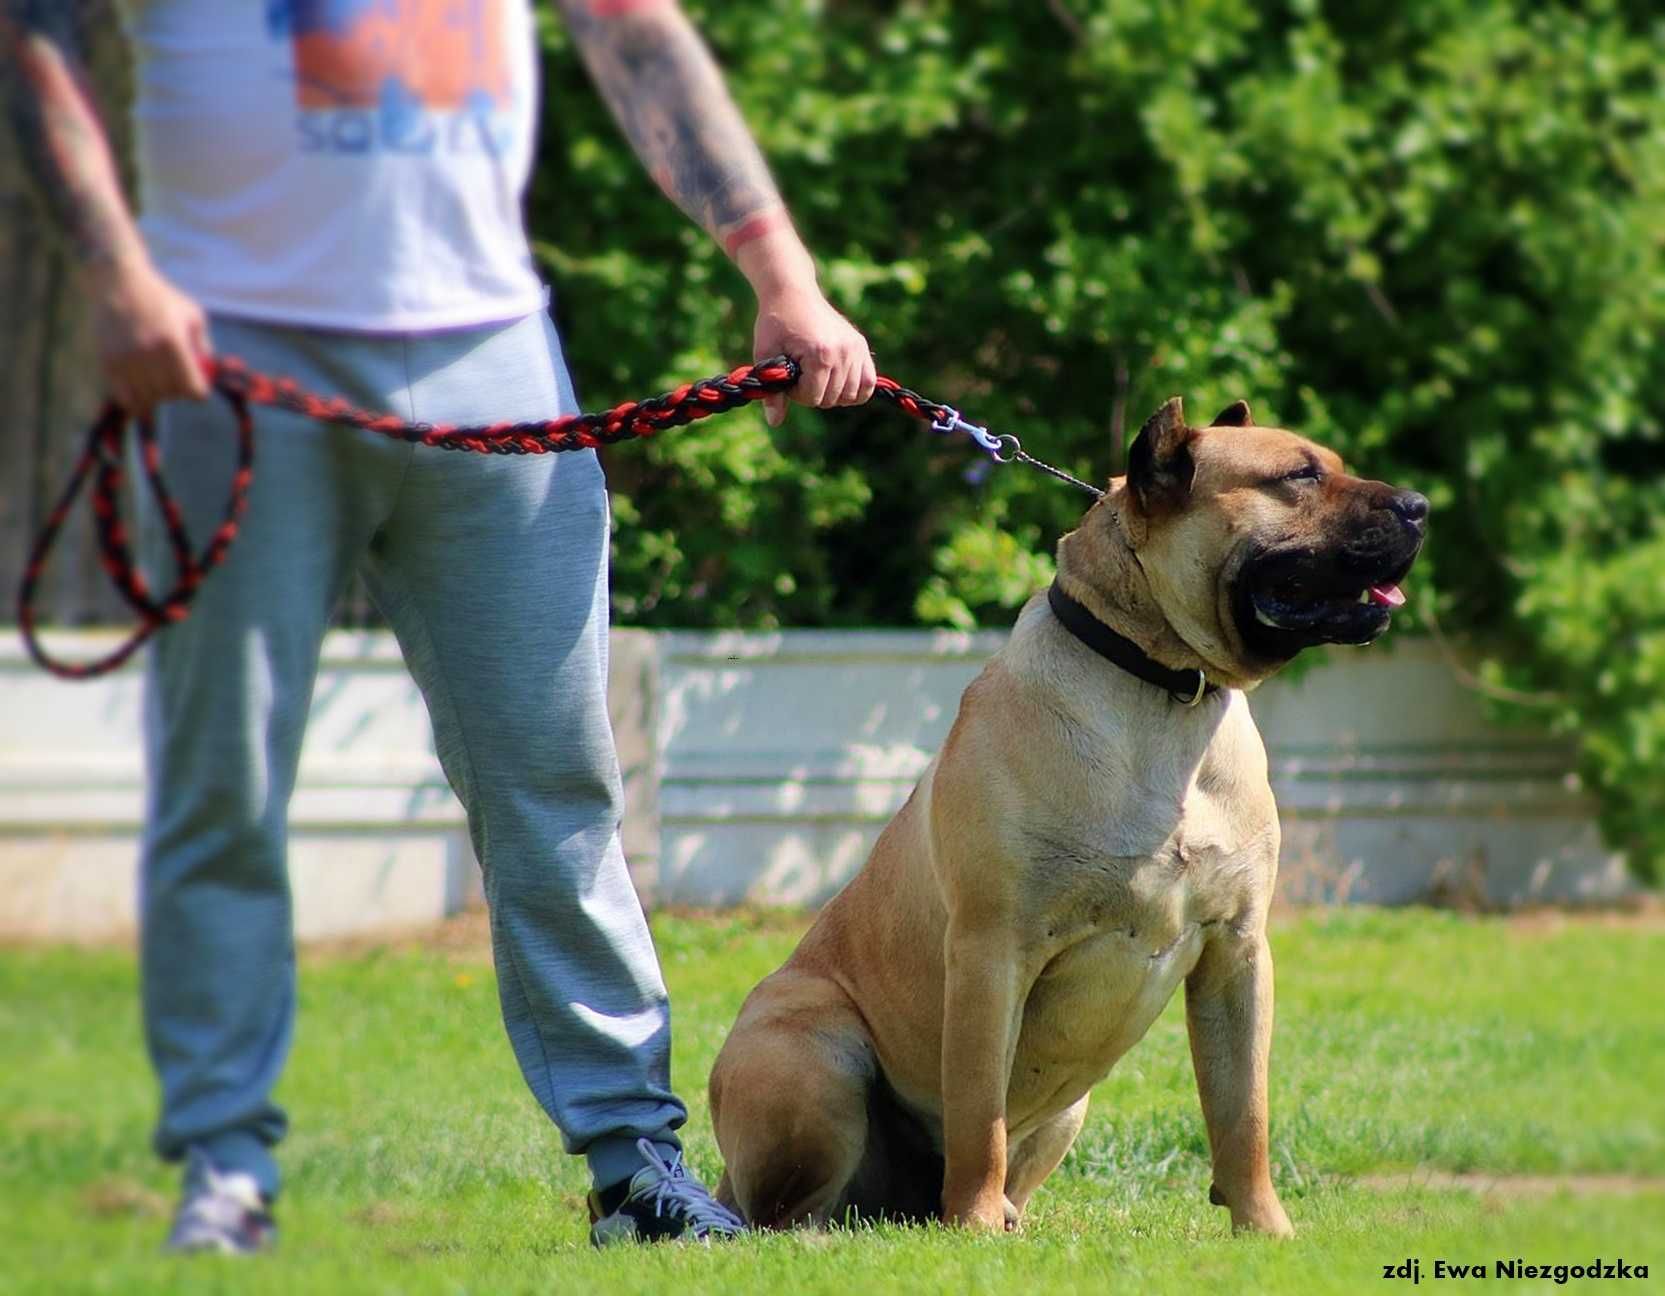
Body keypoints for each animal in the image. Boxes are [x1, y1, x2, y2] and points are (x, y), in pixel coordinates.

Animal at [709, 396, 1425, 1232]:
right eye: (1298, 477)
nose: (1419, 506)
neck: (1164, 688)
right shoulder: (992, 952)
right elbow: (979, 1114)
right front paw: (974, 1224)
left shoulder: (1237, 954)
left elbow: (1241, 1114)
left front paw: (1263, 1227)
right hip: (808, 1051)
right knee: (780, 1210)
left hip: (1066, 1110)